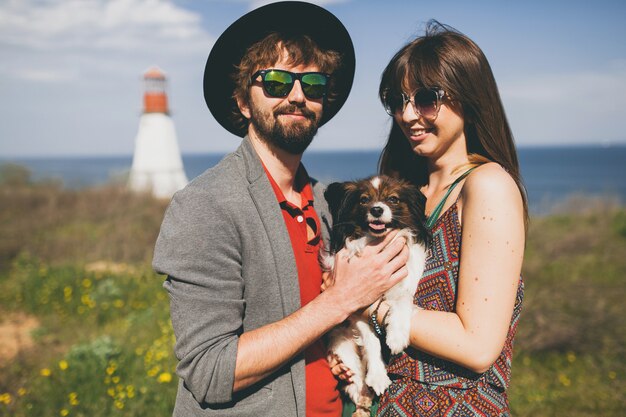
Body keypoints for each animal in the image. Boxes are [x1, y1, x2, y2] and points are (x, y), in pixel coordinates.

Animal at [320, 174, 426, 414]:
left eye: (393, 199)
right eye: (364, 200)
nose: (377, 209)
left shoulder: (404, 284)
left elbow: (403, 301)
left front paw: (397, 335)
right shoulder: (358, 312)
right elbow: (372, 341)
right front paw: (378, 376)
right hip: (343, 346)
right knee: (356, 378)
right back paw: (364, 397)